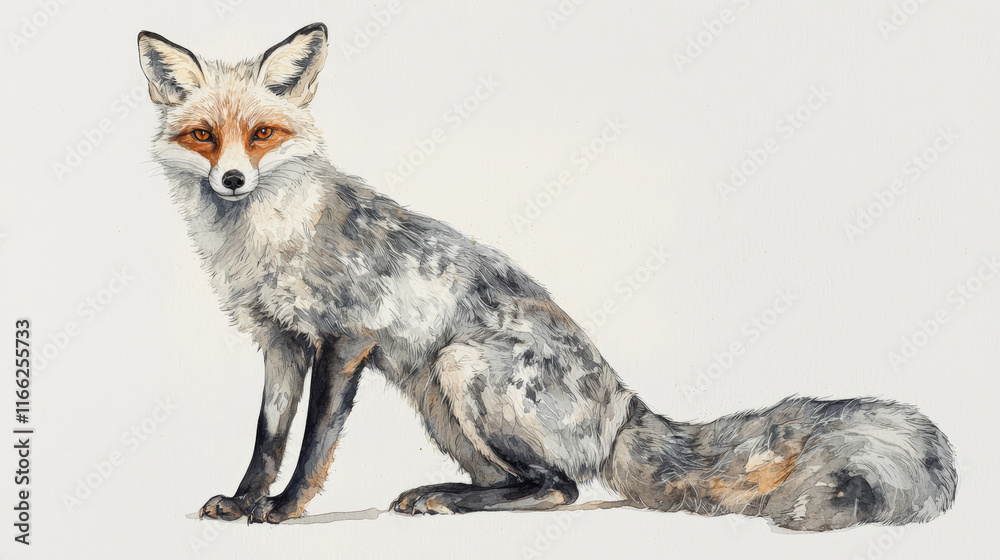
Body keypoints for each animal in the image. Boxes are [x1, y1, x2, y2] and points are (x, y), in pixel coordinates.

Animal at [138, 23, 957, 531]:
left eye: (262, 134)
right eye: (204, 136)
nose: (234, 180)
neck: (267, 239)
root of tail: (624, 404)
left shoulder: (346, 338)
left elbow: (311, 448)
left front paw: (282, 513)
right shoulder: (280, 343)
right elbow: (267, 438)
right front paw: (245, 503)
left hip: (460, 366)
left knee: (558, 487)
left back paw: (447, 501)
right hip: (437, 398)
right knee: (516, 482)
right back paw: (443, 493)